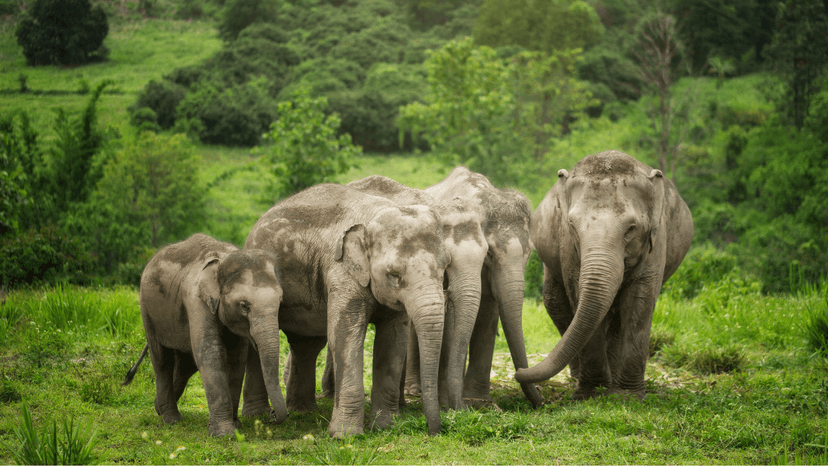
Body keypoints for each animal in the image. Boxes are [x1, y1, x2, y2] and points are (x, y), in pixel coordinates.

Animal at [121, 234, 285, 437]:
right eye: (243, 305)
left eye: (280, 301)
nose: (271, 416)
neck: (224, 258)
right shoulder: (196, 300)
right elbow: (210, 353)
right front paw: (225, 434)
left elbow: (236, 359)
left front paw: (236, 425)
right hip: (147, 310)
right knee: (162, 360)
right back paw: (171, 420)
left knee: (185, 364)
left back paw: (158, 408)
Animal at [241, 183, 450, 438]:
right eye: (394, 275)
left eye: (445, 267)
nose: (434, 432)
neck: (373, 214)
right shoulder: (340, 272)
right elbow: (345, 337)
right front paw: (345, 435)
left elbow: (393, 342)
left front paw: (386, 427)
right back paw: (257, 417)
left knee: (306, 344)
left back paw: (302, 412)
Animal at [410, 166, 544, 409]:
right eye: (489, 254)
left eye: (530, 252)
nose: (542, 400)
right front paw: (458, 402)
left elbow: (487, 315)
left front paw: (479, 401)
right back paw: (415, 390)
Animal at [515, 150, 693, 399]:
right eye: (572, 225)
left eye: (631, 228)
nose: (519, 372)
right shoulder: (567, 245)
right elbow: (577, 292)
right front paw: (592, 393)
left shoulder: (657, 240)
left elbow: (640, 300)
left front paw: (628, 396)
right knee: (556, 303)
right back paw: (579, 378)